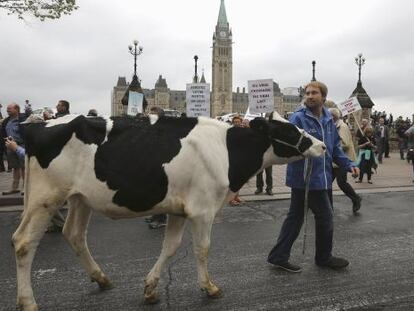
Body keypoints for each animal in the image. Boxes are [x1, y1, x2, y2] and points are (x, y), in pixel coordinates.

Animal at [12, 113, 326, 310]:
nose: (323, 145)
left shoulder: (179, 208)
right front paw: (209, 288)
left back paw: (101, 278)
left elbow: (171, 247)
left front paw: (151, 289)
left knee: (74, 234)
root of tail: (38, 125)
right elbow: (202, 248)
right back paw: (28, 301)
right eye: (289, 130)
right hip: (46, 197)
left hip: (79, 198)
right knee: (24, 242)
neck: (226, 151)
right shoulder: (202, 209)